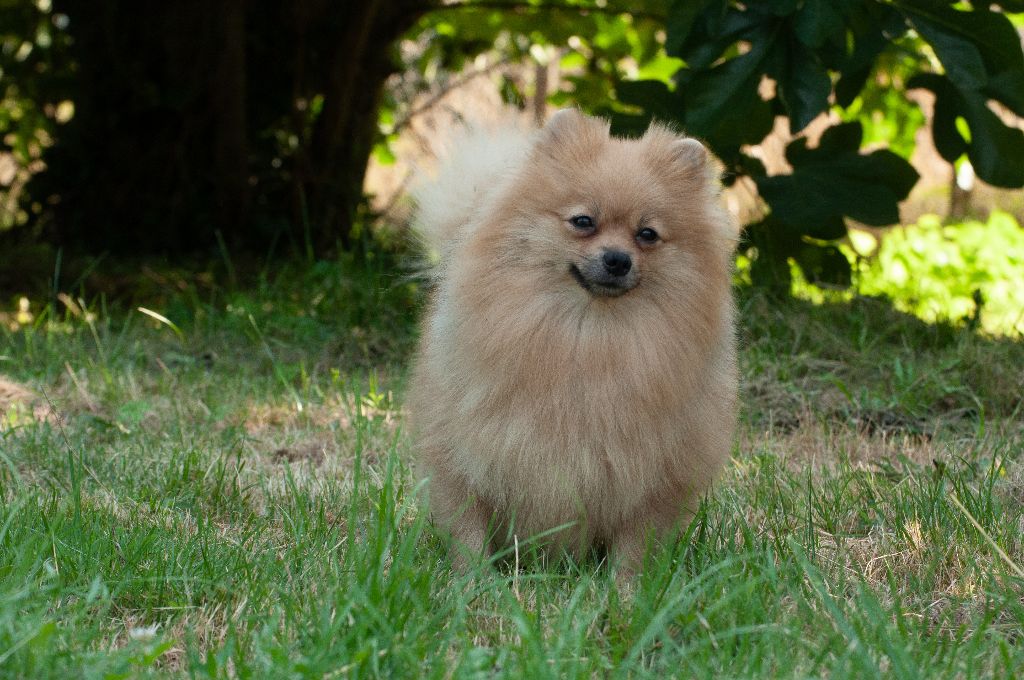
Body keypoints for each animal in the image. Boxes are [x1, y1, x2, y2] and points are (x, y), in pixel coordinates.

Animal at [407, 109, 737, 569]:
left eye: (647, 234)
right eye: (583, 221)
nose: (617, 259)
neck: (588, 337)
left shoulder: (653, 480)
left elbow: (634, 547)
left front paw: (626, 586)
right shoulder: (463, 454)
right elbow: (468, 530)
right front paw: (473, 580)